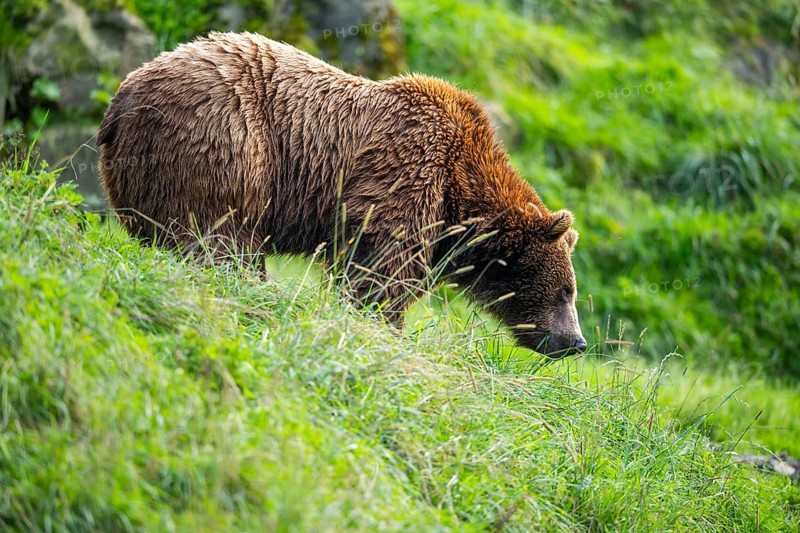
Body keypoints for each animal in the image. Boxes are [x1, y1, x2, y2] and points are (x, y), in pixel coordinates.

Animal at [97, 32, 587, 357]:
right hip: (228, 140)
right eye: (567, 291)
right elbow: (381, 271)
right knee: (219, 236)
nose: (576, 341)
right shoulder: (404, 174)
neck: (459, 197)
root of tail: (124, 95)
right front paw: (384, 330)